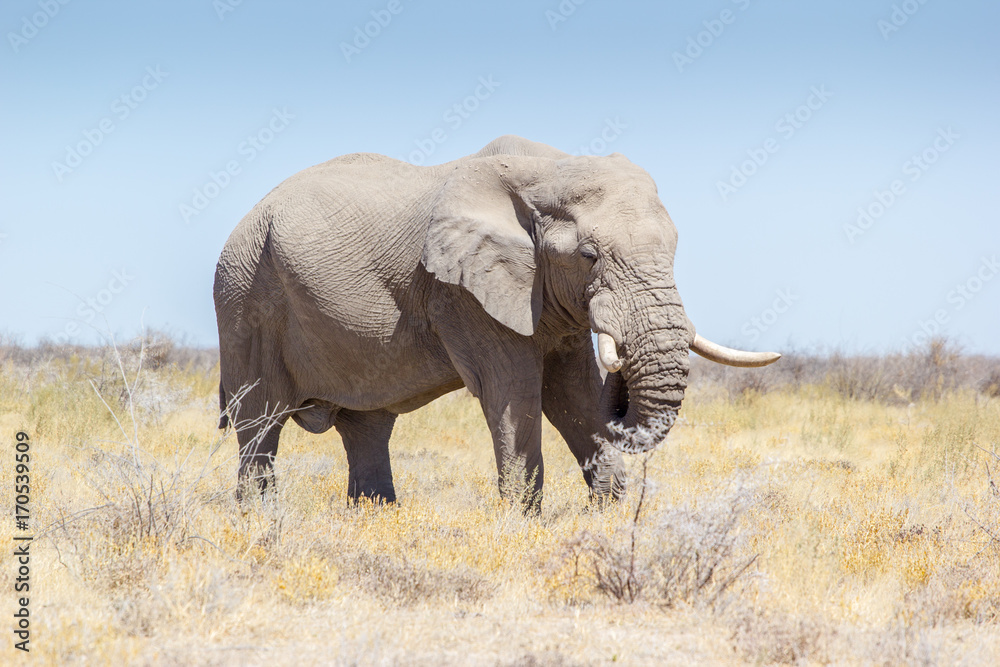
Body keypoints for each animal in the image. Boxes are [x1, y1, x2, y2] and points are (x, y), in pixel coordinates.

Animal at [213, 137, 780, 512]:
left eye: (676, 247)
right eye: (590, 256)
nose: (621, 370)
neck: (548, 170)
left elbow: (574, 394)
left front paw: (610, 516)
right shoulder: (463, 293)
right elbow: (517, 391)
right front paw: (525, 525)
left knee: (367, 426)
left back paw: (376, 517)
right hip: (244, 297)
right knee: (260, 424)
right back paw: (259, 521)